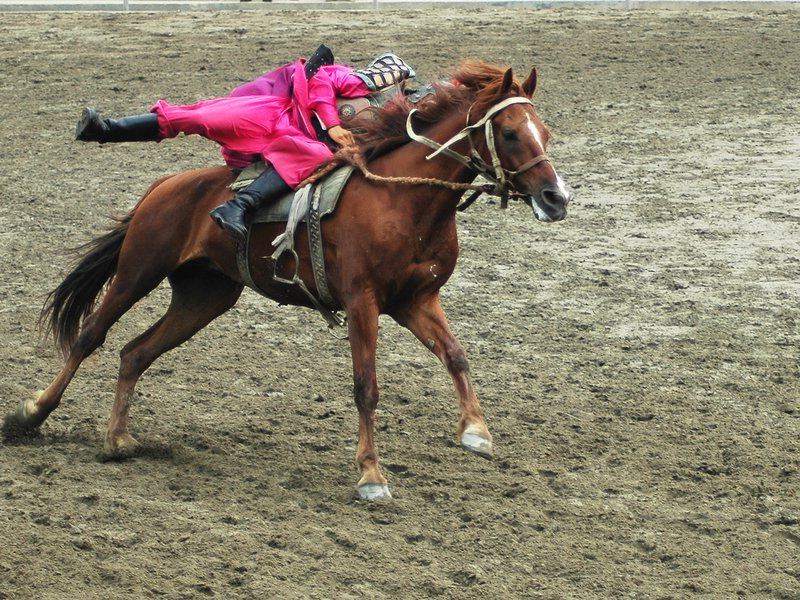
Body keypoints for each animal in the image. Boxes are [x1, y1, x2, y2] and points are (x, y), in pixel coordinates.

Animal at [4, 61, 568, 502]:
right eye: (511, 133)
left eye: (545, 132)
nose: (556, 199)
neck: (403, 199)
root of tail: (165, 185)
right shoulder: (362, 302)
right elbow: (366, 387)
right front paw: (371, 476)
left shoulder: (416, 299)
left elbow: (456, 355)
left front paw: (475, 430)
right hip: (138, 271)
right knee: (91, 336)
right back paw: (30, 415)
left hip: (204, 295)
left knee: (134, 352)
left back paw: (117, 439)